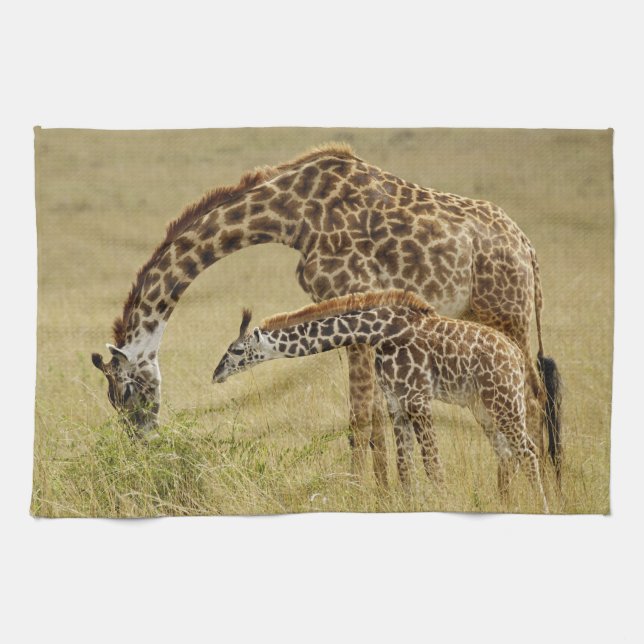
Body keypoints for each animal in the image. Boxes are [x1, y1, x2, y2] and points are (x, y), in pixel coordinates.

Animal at [91, 143, 562, 485]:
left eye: (128, 393)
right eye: (113, 400)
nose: (143, 448)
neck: (291, 217)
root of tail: (529, 249)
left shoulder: (352, 301)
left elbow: (360, 420)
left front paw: (364, 494)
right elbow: (373, 419)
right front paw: (385, 492)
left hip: (508, 314)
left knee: (534, 398)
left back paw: (542, 490)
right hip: (485, 316)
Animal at [212, 290, 549, 512]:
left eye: (237, 350)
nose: (216, 374)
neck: (380, 333)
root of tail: (515, 355)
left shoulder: (418, 399)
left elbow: (432, 465)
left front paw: (442, 503)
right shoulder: (396, 404)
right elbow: (404, 466)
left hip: (504, 400)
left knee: (528, 450)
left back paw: (542, 507)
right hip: (483, 407)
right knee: (507, 453)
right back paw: (507, 505)